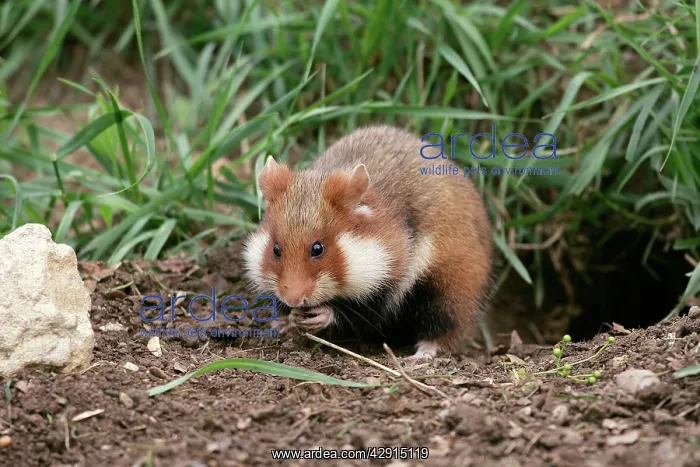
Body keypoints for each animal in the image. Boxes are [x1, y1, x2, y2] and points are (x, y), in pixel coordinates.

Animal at [242, 125, 493, 358]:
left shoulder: (391, 281)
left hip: (448, 290)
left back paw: (420, 356)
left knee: (445, 328)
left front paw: (318, 316)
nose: (294, 299)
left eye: (318, 248)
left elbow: (359, 313)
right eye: (276, 249)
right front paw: (287, 320)